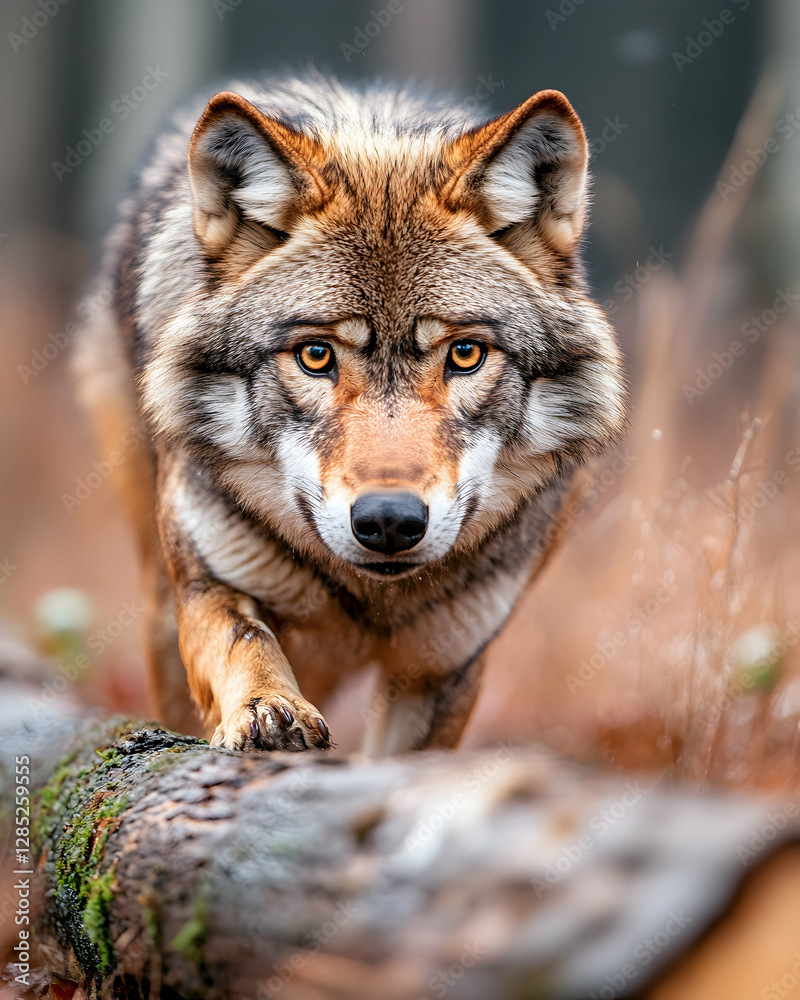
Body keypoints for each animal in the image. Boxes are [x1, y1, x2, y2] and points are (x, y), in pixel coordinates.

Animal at [76, 75, 626, 755]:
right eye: (316, 355)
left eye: (465, 354)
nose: (389, 521)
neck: (368, 598)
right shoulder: (208, 585)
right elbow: (245, 639)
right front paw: (269, 708)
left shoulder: (442, 668)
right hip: (158, 590)